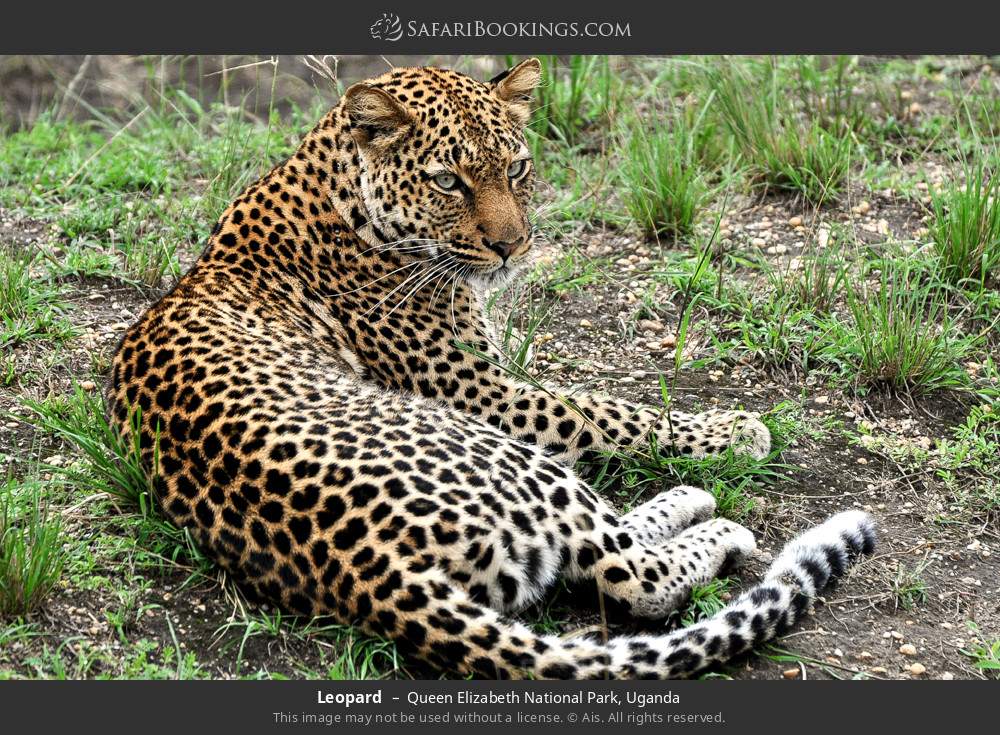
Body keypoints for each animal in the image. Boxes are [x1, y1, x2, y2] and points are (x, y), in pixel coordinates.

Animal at [111, 57, 876, 680]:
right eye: (447, 181)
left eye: (515, 168)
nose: (513, 245)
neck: (338, 194)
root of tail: (365, 566)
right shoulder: (480, 389)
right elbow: (607, 409)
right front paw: (736, 430)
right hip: (499, 449)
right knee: (631, 571)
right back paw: (713, 518)